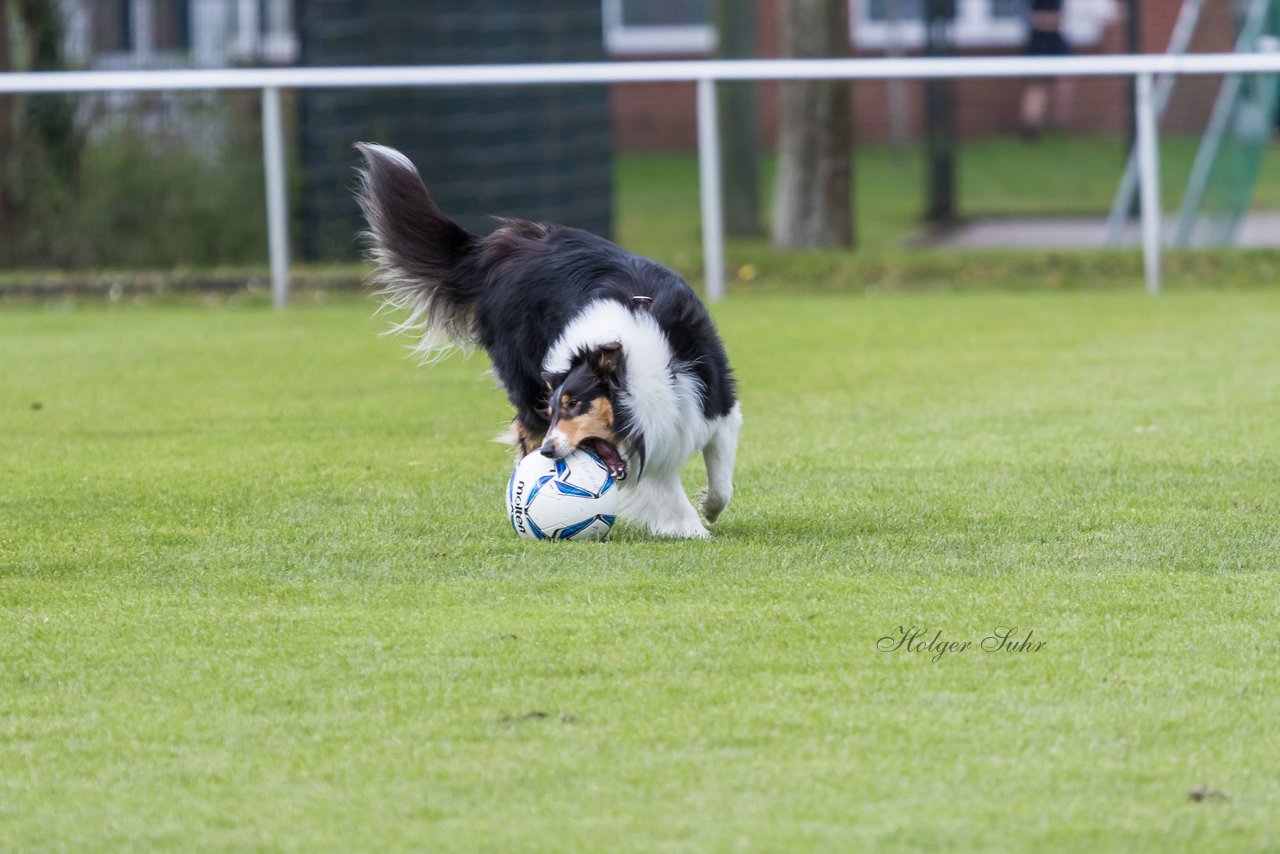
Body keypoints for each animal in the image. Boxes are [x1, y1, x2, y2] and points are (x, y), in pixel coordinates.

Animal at [355, 142, 747, 537]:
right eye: (556, 408)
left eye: (575, 406)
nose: (547, 453)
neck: (640, 368)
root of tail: (497, 251)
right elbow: (668, 493)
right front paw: (694, 530)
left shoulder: (713, 407)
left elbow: (722, 484)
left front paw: (708, 508)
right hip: (525, 384)